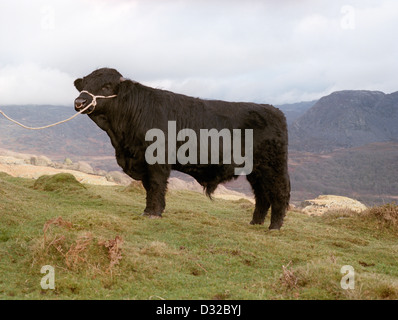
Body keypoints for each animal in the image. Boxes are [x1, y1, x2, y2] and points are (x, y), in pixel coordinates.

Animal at [74, 68, 290, 230]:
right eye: (84, 86)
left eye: (106, 86)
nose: (79, 102)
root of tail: (274, 110)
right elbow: (148, 186)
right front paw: (148, 211)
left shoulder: (157, 161)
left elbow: (156, 185)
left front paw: (154, 213)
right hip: (256, 170)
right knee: (262, 195)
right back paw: (255, 222)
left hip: (273, 167)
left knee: (279, 192)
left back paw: (274, 226)